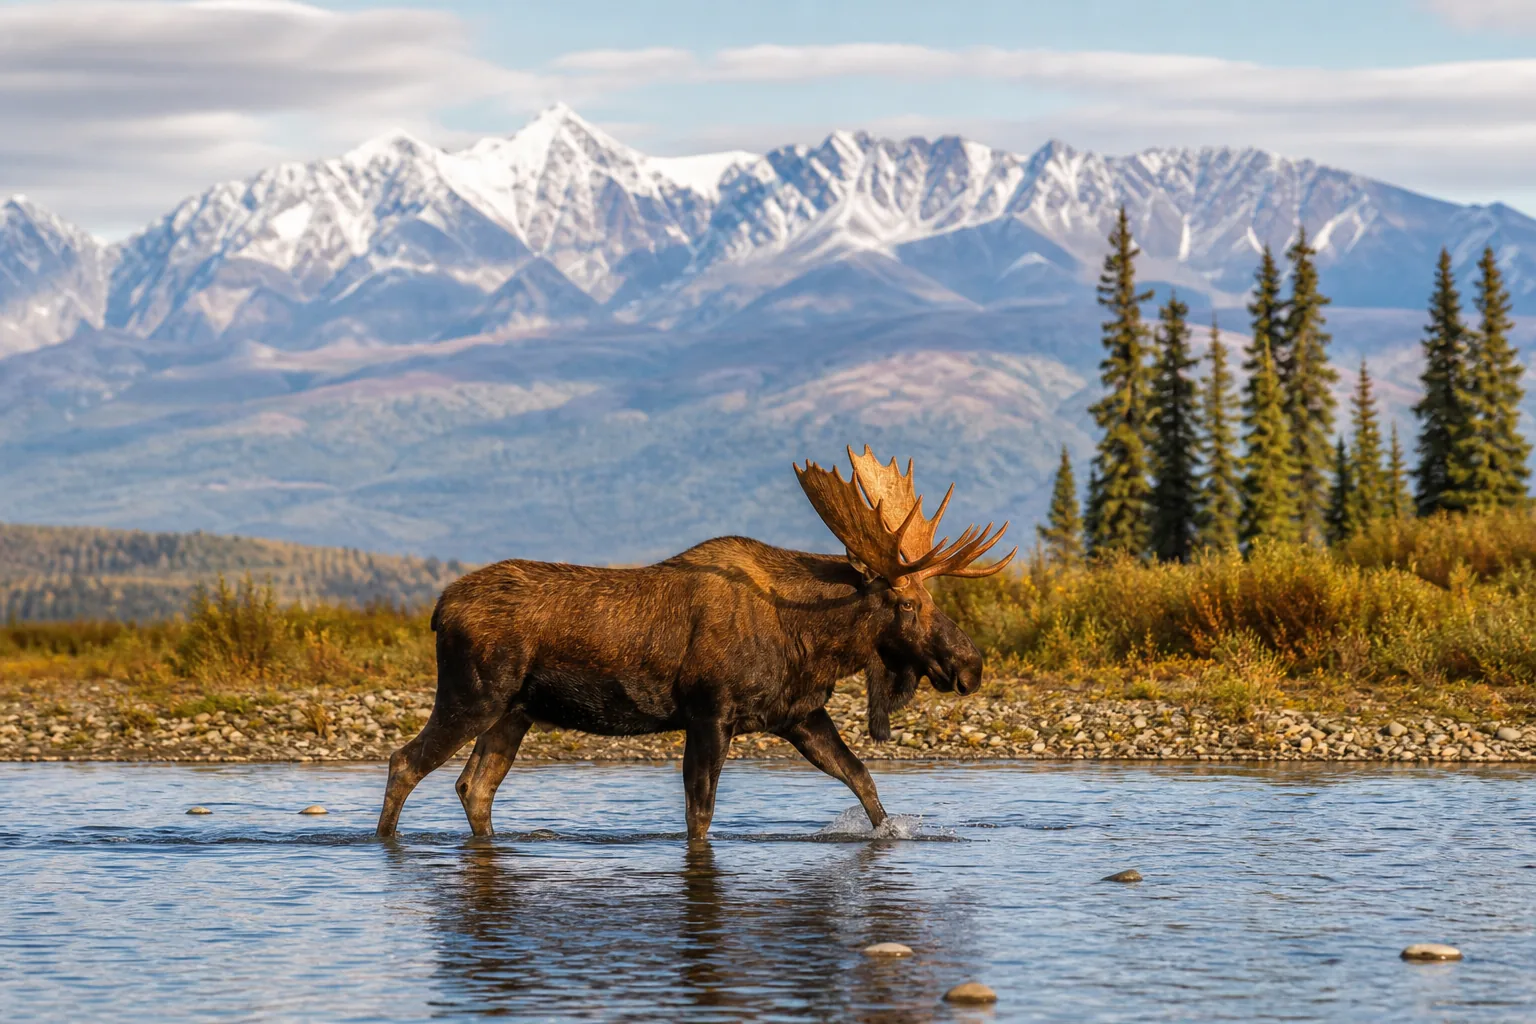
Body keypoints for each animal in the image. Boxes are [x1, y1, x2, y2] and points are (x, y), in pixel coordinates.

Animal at [376, 446, 1015, 841]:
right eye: (907, 604)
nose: (971, 665)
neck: (810, 637)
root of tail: (438, 609)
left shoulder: (798, 714)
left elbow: (862, 778)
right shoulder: (711, 713)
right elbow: (700, 816)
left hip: (515, 712)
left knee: (474, 786)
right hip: (473, 695)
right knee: (405, 761)